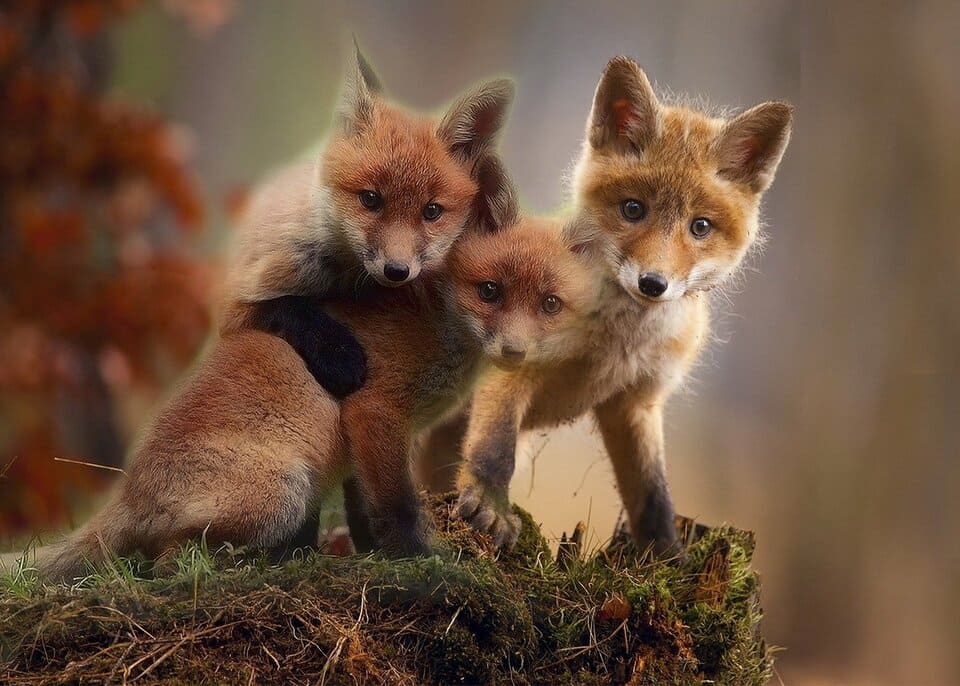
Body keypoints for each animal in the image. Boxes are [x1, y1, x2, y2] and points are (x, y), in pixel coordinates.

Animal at [0, 193, 598, 579]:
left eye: (549, 304)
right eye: (489, 291)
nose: (516, 353)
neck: (435, 322)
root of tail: (128, 491)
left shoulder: (366, 441)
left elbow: (364, 510)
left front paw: (373, 555)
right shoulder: (375, 412)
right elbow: (396, 506)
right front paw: (418, 560)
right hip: (285, 492)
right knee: (166, 563)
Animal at [220, 45, 515, 398]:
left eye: (431, 211)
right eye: (371, 199)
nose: (397, 271)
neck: (343, 278)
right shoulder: (236, 301)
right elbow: (287, 307)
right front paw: (337, 354)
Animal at [417, 56, 793, 553]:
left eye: (700, 227)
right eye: (633, 209)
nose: (653, 283)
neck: (616, 343)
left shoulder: (636, 403)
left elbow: (653, 493)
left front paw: (666, 554)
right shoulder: (513, 360)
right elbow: (495, 450)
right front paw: (490, 506)